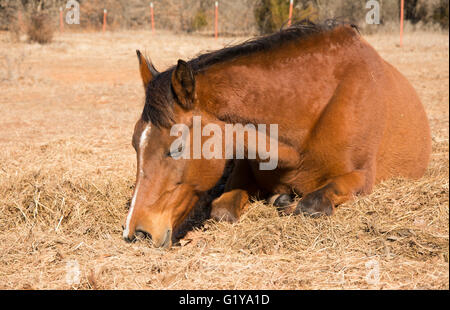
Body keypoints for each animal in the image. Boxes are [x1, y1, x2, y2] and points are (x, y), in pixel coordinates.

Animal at [121, 20, 430, 248]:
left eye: (177, 147)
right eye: (135, 144)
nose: (136, 233)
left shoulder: (361, 177)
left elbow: (310, 205)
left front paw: (285, 201)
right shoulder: (242, 168)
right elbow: (221, 210)